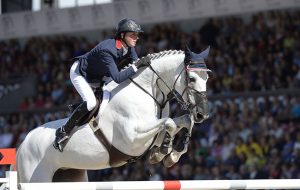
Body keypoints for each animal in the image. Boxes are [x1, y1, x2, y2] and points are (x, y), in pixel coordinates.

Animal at [15, 46, 211, 182]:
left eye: (207, 78)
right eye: (191, 78)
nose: (202, 115)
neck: (146, 91)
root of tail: (22, 144)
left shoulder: (152, 133)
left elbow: (183, 121)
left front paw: (172, 154)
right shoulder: (132, 138)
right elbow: (169, 122)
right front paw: (163, 152)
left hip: (69, 175)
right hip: (37, 178)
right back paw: (61, 137)